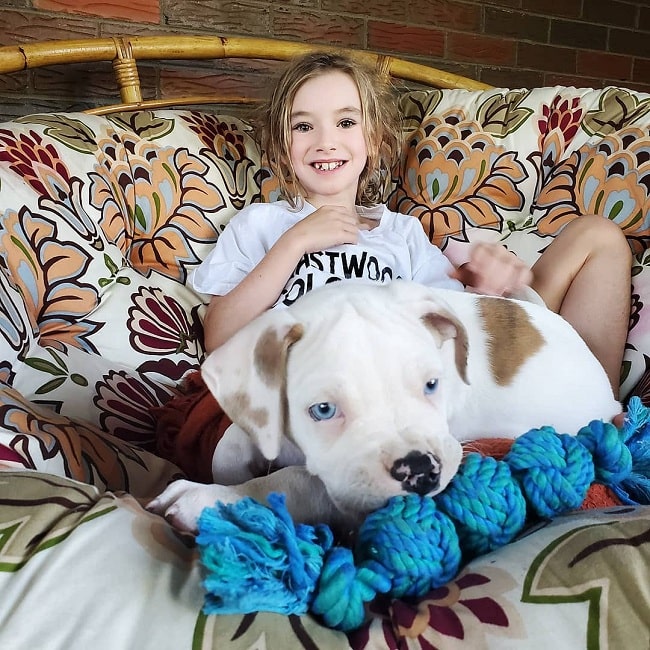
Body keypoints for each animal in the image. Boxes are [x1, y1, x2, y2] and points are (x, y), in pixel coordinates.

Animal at [147, 278, 616, 532]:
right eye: (323, 410)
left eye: (432, 384)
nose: (421, 469)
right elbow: (231, 443)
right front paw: (227, 472)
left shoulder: (340, 494)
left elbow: (292, 481)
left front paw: (209, 499)